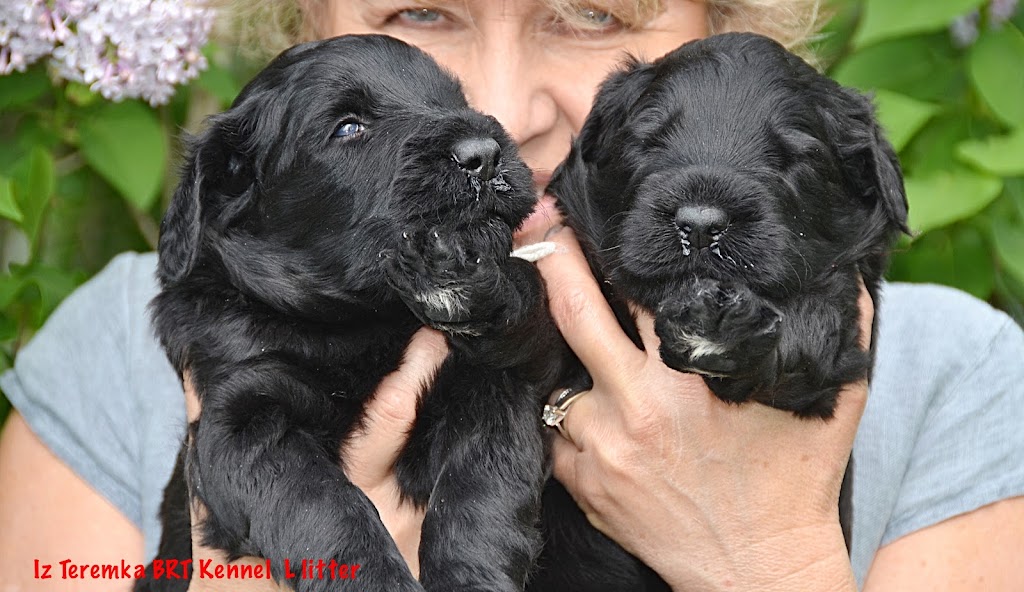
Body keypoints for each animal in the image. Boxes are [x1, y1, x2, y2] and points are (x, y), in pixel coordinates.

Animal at [135, 34, 561, 589]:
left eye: (454, 100)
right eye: (349, 127)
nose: (484, 154)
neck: (364, 322)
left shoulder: (494, 383)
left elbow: (479, 493)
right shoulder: (240, 418)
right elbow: (326, 506)